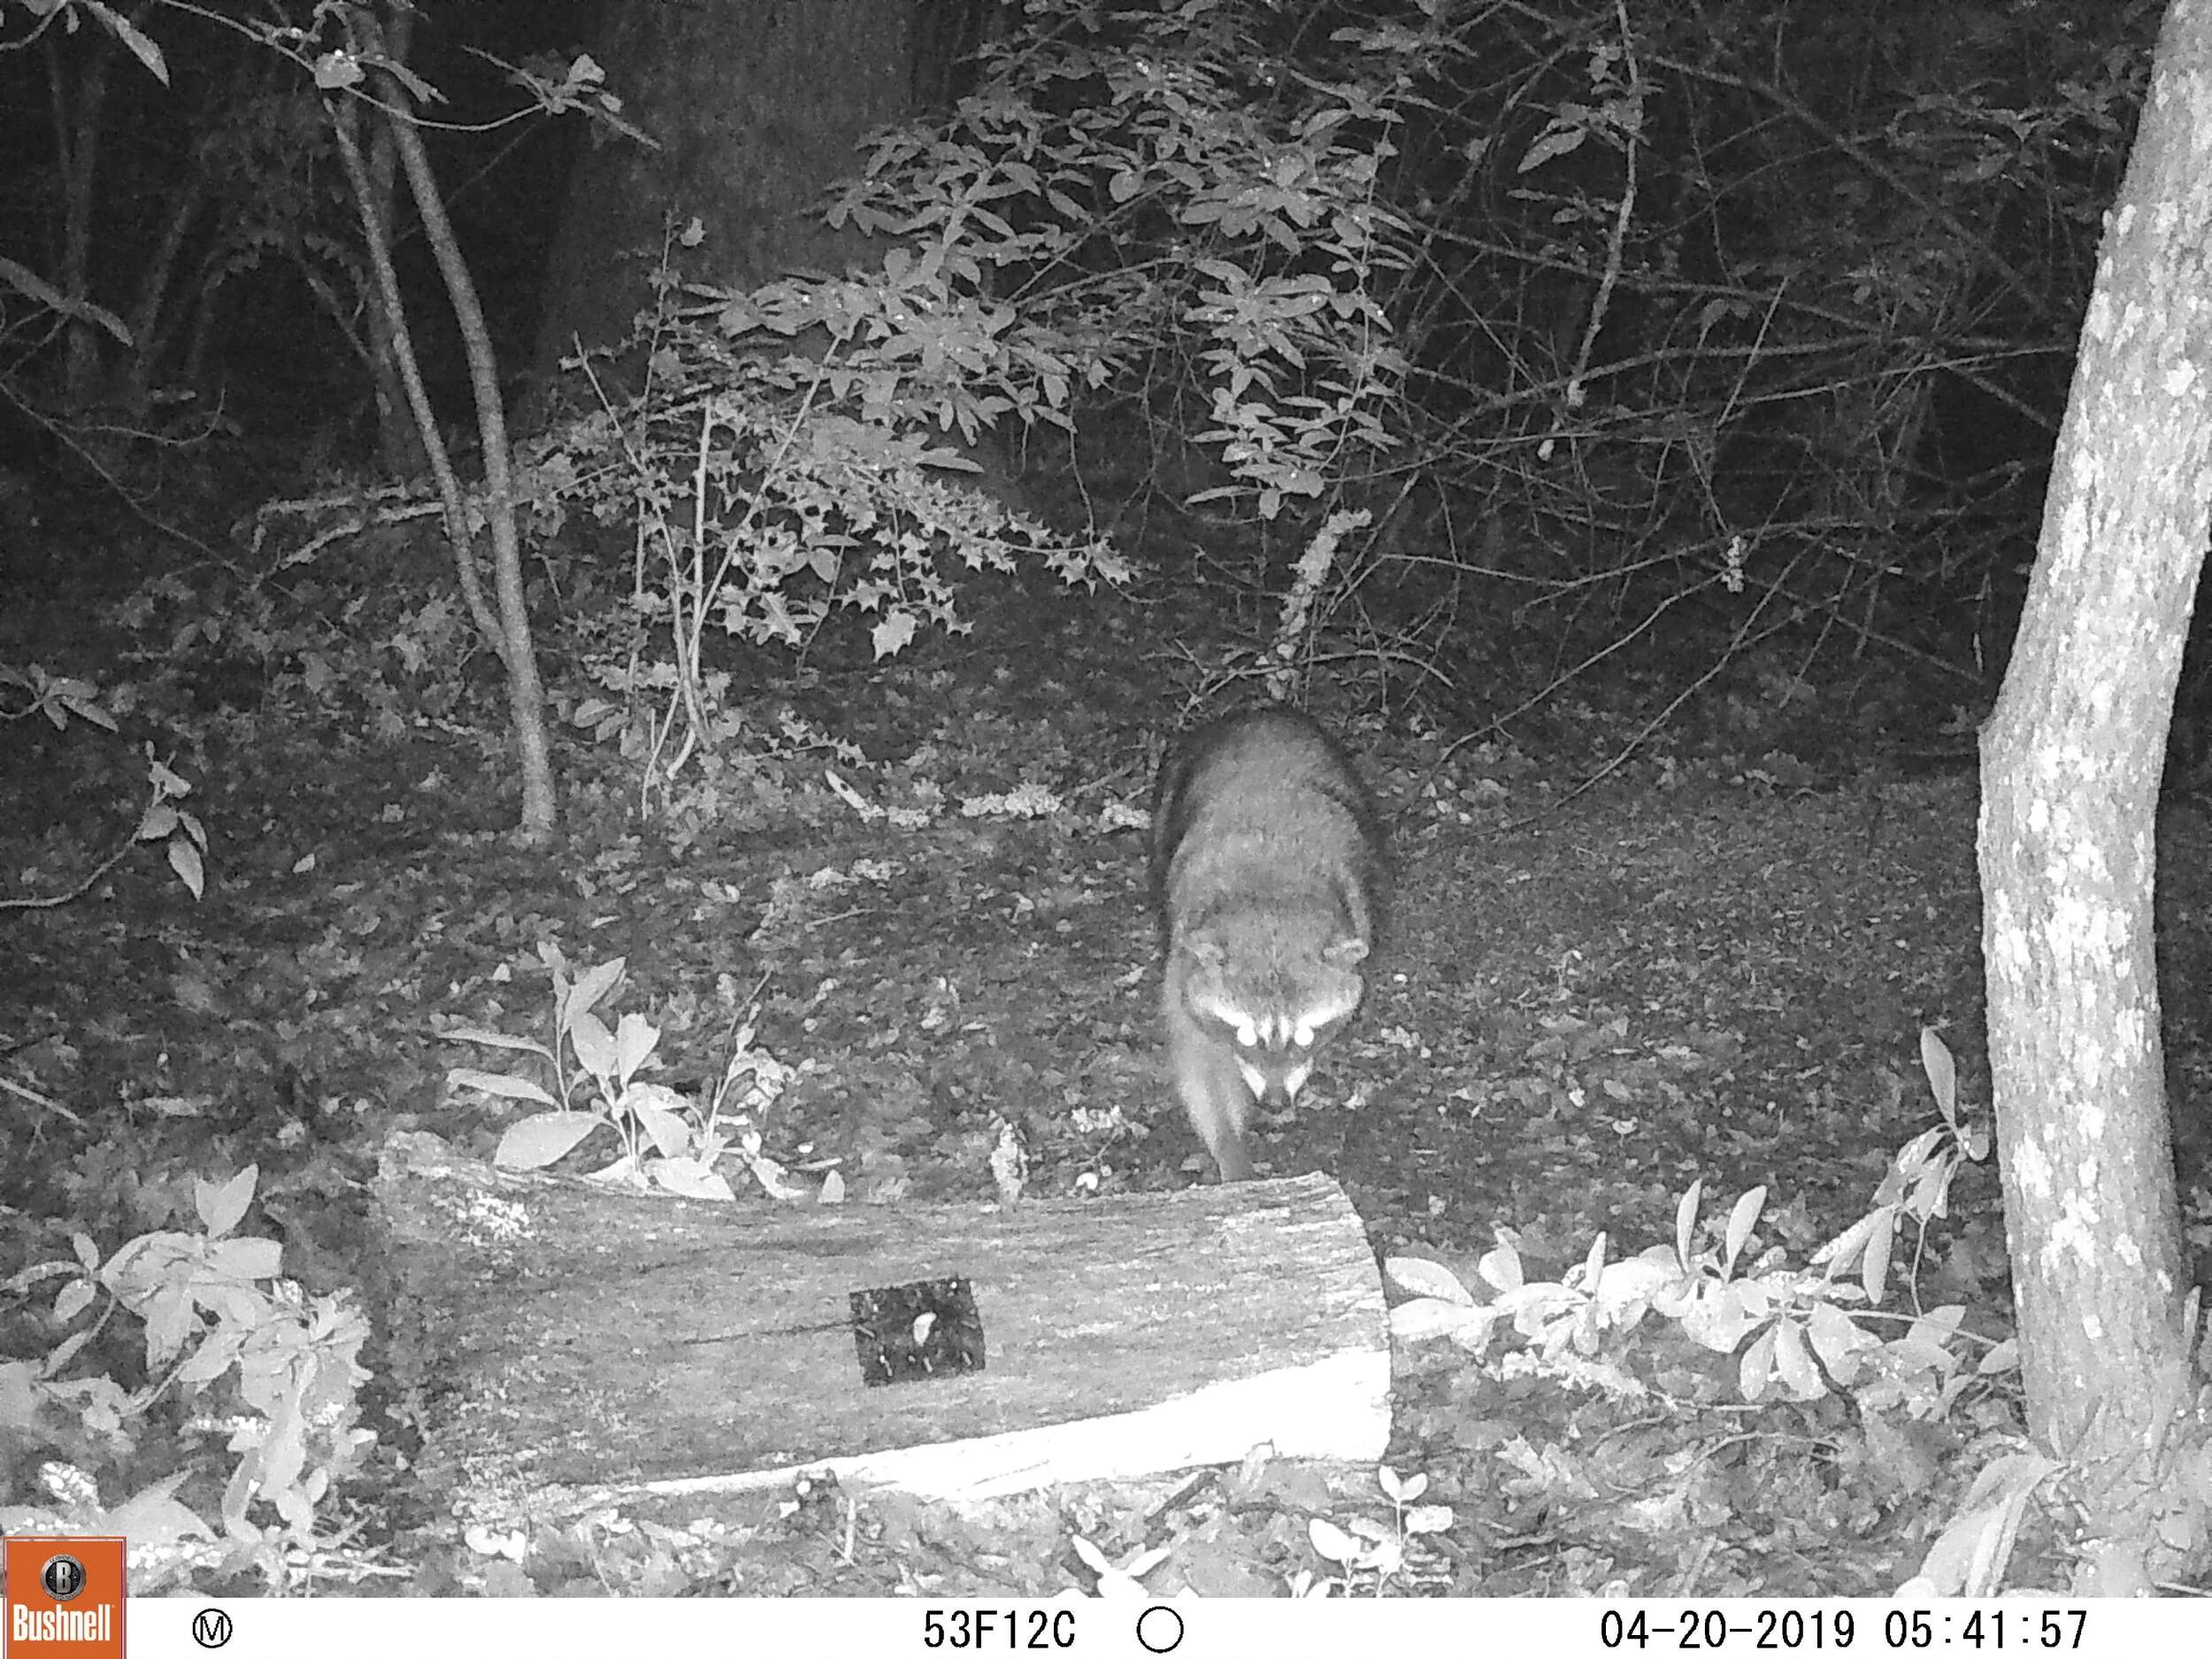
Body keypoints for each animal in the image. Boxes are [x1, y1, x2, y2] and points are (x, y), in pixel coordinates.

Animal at [1150, 706, 1387, 1181]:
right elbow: (1200, 1065)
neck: (1270, 903)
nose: (1277, 1103)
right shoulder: (1186, 962)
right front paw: (1229, 1147)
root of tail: (1259, 713)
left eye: (1308, 1034)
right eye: (1244, 1035)